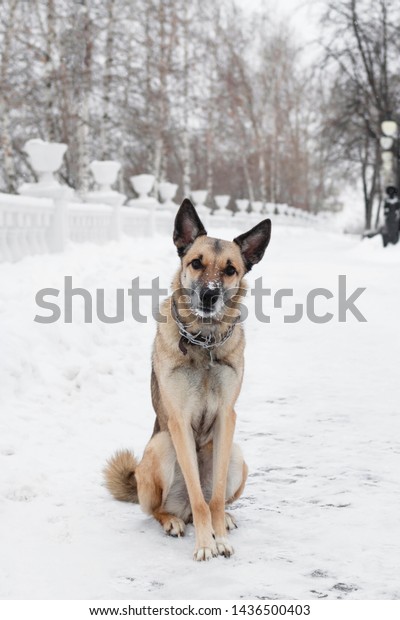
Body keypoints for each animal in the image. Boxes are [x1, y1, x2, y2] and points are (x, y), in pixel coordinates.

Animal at [104, 199, 272, 560]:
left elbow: (215, 498)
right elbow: (199, 498)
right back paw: (172, 520)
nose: (209, 296)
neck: (203, 342)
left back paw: (226, 520)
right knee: (160, 509)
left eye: (230, 270)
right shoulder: (179, 422)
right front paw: (206, 544)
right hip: (161, 446)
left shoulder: (226, 418)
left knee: (216, 498)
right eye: (196, 263)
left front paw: (219, 537)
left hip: (236, 454)